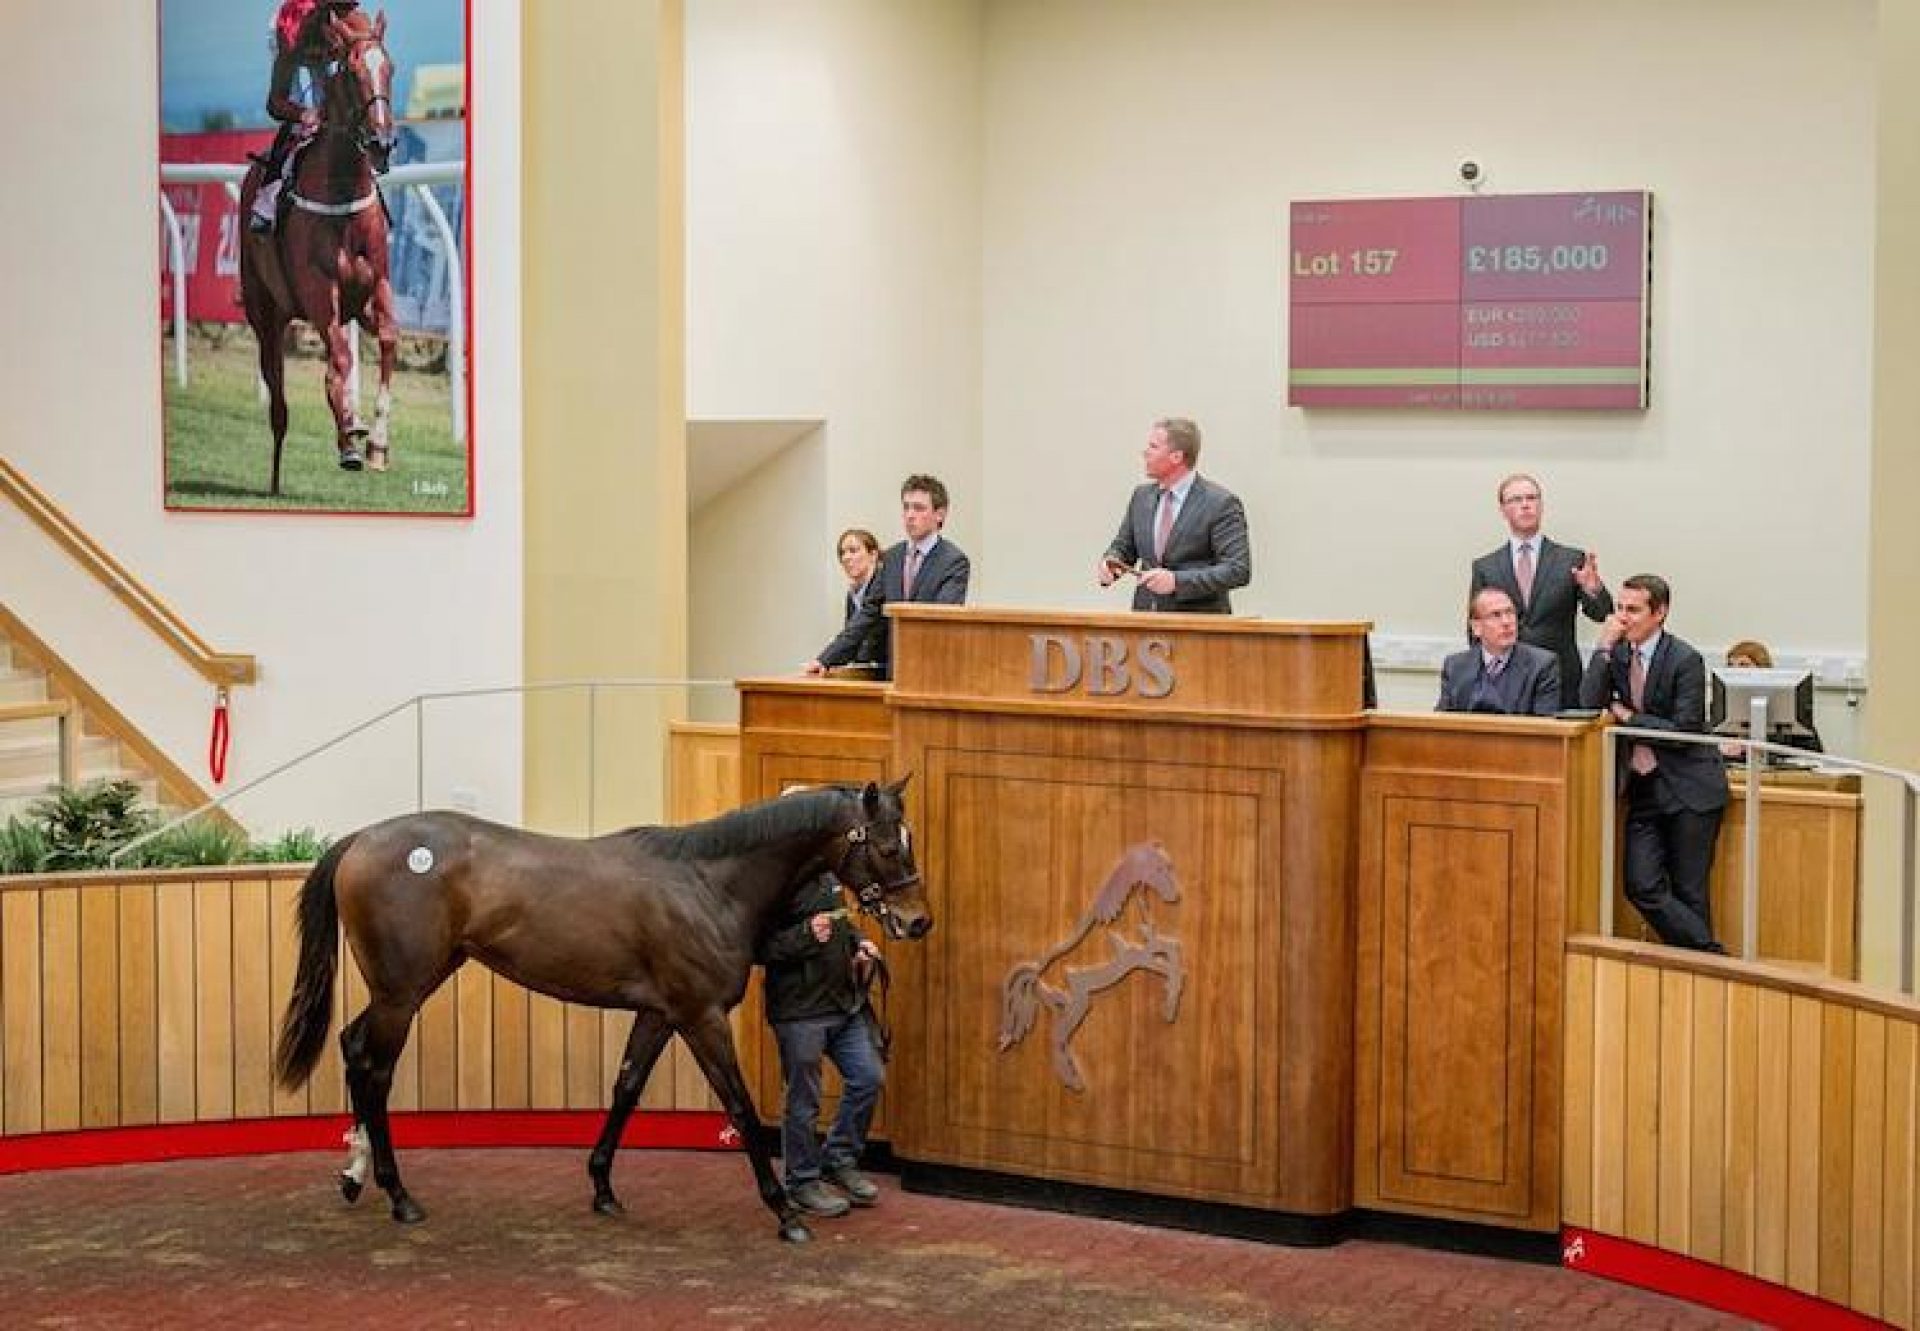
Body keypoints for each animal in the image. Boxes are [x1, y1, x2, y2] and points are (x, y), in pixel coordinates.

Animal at [241, 6, 403, 491]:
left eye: (389, 68)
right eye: (349, 72)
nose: (382, 143)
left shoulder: (374, 286)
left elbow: (388, 341)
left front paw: (377, 444)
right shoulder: (317, 290)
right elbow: (340, 360)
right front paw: (349, 438)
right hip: (265, 309)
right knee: (276, 387)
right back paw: (275, 477)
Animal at [274, 783, 925, 1244]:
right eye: (888, 846)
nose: (917, 920)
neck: (706, 884)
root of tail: (360, 839)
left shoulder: (660, 1013)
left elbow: (626, 1088)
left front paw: (603, 1186)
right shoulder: (701, 1015)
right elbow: (738, 1104)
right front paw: (785, 1211)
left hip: (411, 984)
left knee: (354, 1048)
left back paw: (355, 1176)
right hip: (401, 992)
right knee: (375, 1069)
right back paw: (397, 1194)